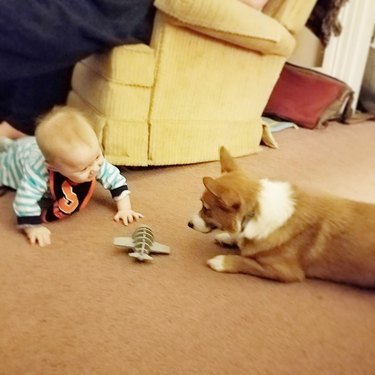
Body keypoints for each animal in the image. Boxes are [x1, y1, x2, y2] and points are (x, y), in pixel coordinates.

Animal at [189, 147, 375, 288]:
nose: (189, 224)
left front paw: (221, 261)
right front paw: (228, 238)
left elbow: (246, 261)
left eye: (205, 208)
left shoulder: (283, 271)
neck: (255, 213)